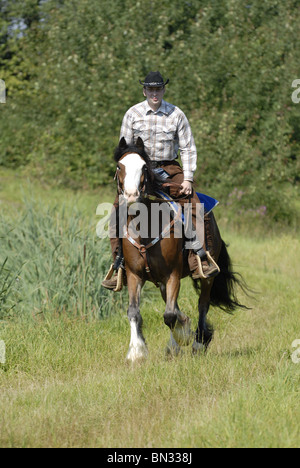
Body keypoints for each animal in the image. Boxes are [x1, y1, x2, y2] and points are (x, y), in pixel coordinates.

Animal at [112, 135, 246, 362]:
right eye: (119, 166)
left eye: (144, 167)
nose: (130, 196)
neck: (145, 228)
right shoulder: (134, 274)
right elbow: (134, 312)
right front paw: (137, 352)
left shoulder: (172, 274)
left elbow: (169, 315)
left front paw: (181, 339)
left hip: (206, 276)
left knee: (202, 304)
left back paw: (197, 343)